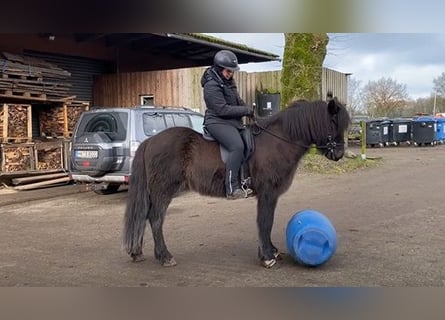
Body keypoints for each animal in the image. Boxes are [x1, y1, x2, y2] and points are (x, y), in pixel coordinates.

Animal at [123, 94, 348, 268]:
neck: (277, 142)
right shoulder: (267, 192)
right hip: (163, 190)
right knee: (155, 219)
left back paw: (137, 252)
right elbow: (265, 221)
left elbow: (267, 221)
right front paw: (267, 257)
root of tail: (150, 141)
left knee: (143, 216)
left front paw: (271, 251)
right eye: (333, 122)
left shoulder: (270, 195)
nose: (338, 154)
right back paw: (165, 257)